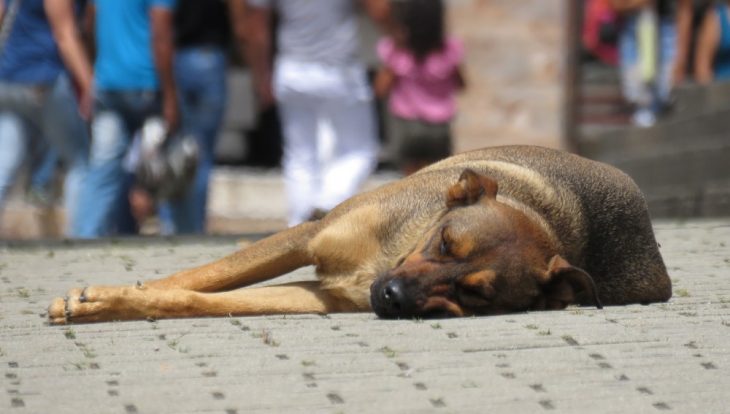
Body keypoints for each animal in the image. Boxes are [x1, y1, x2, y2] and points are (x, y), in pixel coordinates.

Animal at [47, 146, 672, 324]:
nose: (391, 298)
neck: (386, 258)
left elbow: (193, 299)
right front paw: (101, 297)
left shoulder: (321, 296)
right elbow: (200, 276)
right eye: (445, 244)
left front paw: (111, 302)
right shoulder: (308, 235)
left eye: (475, 293)